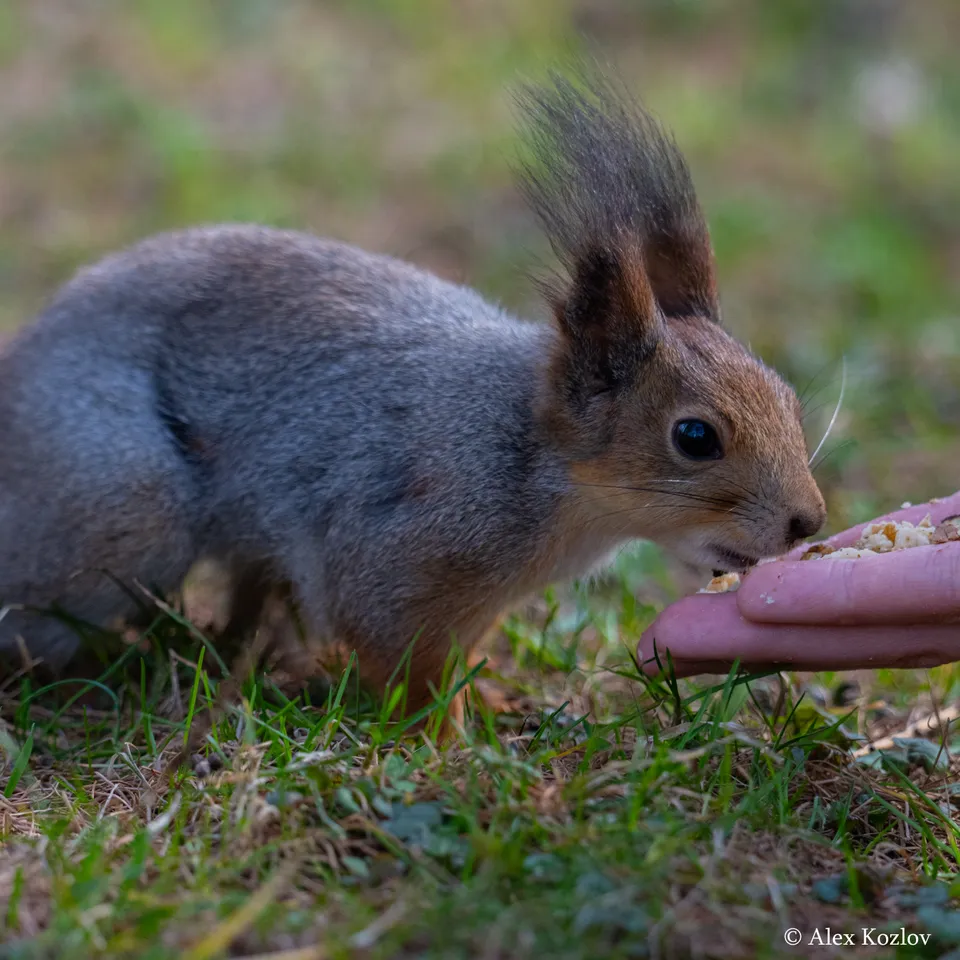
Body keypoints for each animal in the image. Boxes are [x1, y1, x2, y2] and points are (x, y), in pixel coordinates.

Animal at [0, 67, 826, 718]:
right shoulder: (395, 554)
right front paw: (444, 738)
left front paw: (484, 696)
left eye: (789, 399)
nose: (807, 522)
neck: (532, 461)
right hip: (120, 503)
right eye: (695, 437)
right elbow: (403, 661)